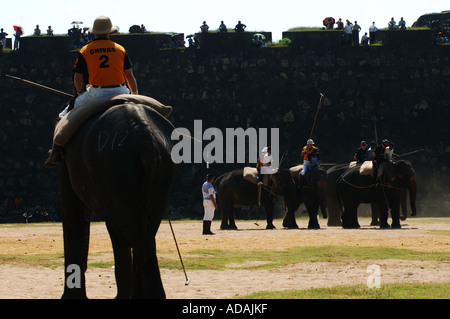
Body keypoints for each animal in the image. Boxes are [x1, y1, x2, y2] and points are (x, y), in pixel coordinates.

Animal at [54, 100, 176, 300]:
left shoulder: (65, 158)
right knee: (145, 233)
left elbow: (73, 212)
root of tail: (146, 139)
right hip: (163, 171)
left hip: (116, 170)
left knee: (127, 229)